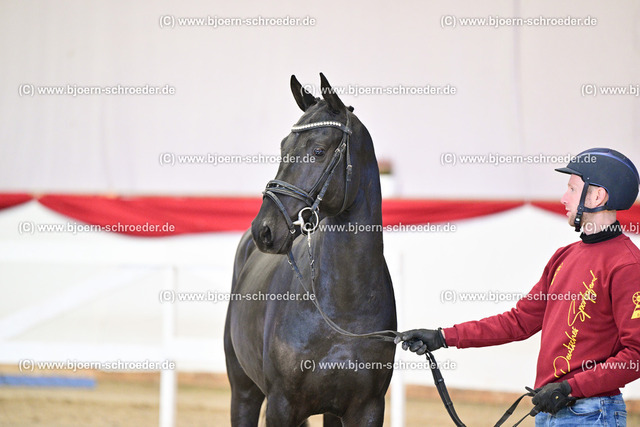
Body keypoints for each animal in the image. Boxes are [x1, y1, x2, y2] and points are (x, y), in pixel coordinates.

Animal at [224, 73, 397, 427]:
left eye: (318, 151)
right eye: (283, 147)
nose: (264, 229)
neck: (342, 309)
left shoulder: (367, 408)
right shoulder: (282, 405)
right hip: (244, 392)